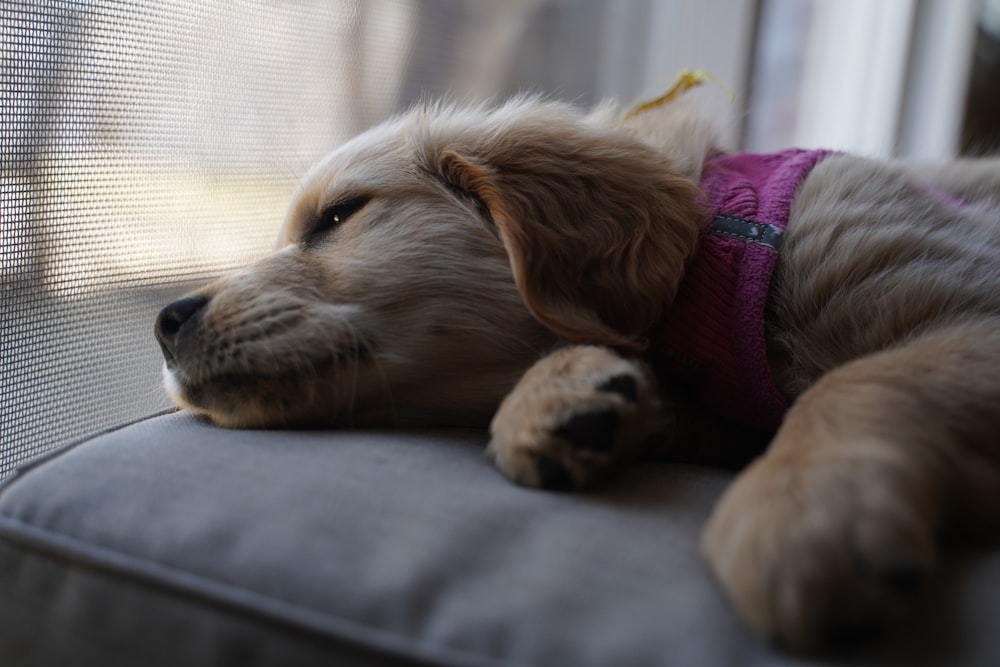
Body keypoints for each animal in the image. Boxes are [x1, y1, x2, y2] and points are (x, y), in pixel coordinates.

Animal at [154, 98, 1000, 652]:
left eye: (338, 216)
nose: (164, 322)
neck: (722, 252)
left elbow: (849, 382)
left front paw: (801, 507)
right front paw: (569, 394)